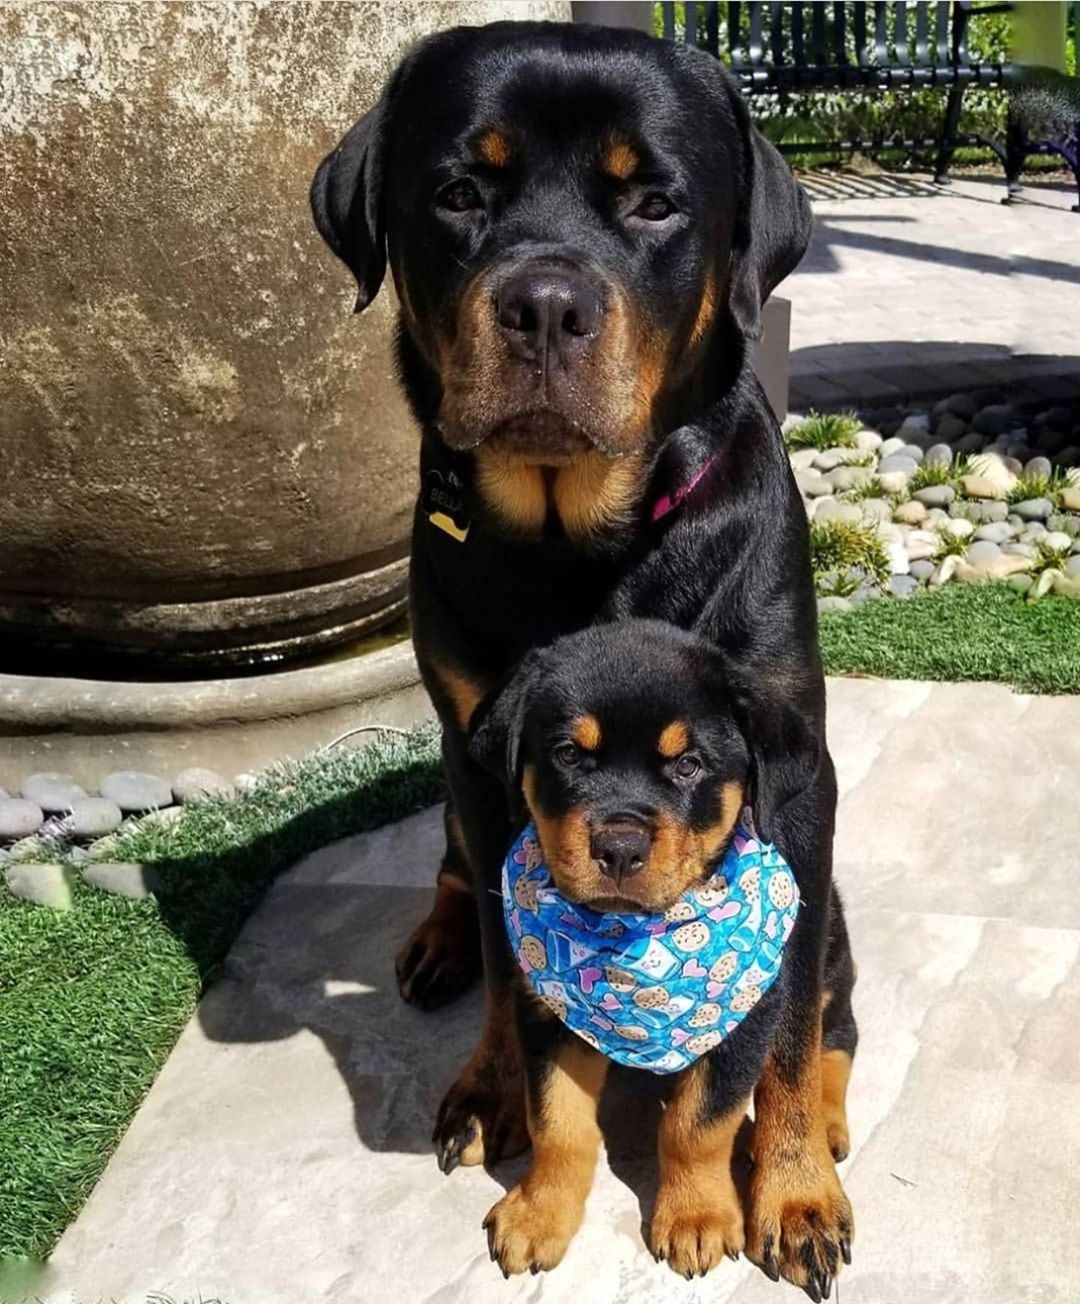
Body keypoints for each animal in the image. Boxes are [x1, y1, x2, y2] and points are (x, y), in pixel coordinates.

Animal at [469, 620, 855, 1283]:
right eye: (568, 754)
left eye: (689, 765)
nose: (619, 848)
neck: (635, 940)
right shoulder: (543, 1014)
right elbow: (557, 1124)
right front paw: (537, 1213)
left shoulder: (749, 1014)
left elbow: (695, 1124)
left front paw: (695, 1217)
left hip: (824, 950)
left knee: (831, 1039)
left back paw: (822, 1126)